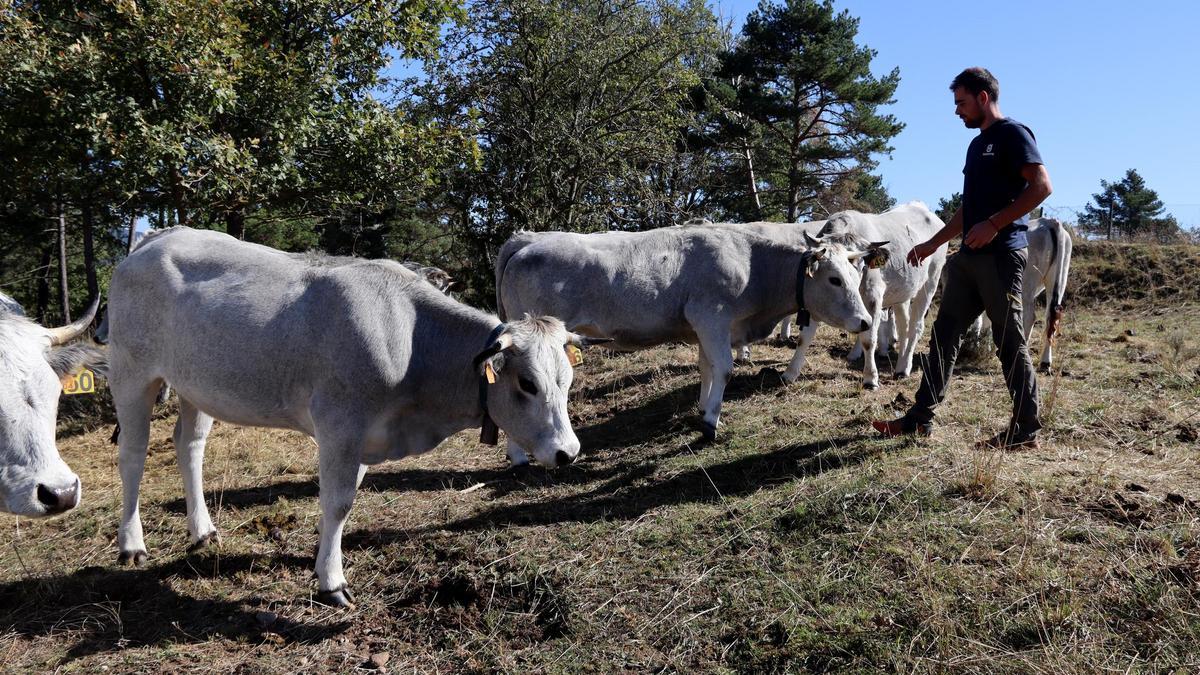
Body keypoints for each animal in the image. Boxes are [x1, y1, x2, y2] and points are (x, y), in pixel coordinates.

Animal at [106, 227, 604, 605]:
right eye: (527, 384)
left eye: (566, 381)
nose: (569, 452)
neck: (412, 340)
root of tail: (157, 238)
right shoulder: (339, 425)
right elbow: (339, 501)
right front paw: (332, 582)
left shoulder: (364, 434)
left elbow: (346, 500)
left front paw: (323, 559)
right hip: (131, 372)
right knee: (133, 454)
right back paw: (132, 544)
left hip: (195, 386)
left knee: (189, 445)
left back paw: (203, 530)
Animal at [492, 223, 878, 454]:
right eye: (834, 280)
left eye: (857, 274)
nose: (865, 321)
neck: (755, 264)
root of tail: (527, 239)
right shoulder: (711, 317)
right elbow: (724, 368)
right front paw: (710, 424)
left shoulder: (706, 327)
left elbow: (707, 368)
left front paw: (704, 408)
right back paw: (519, 456)